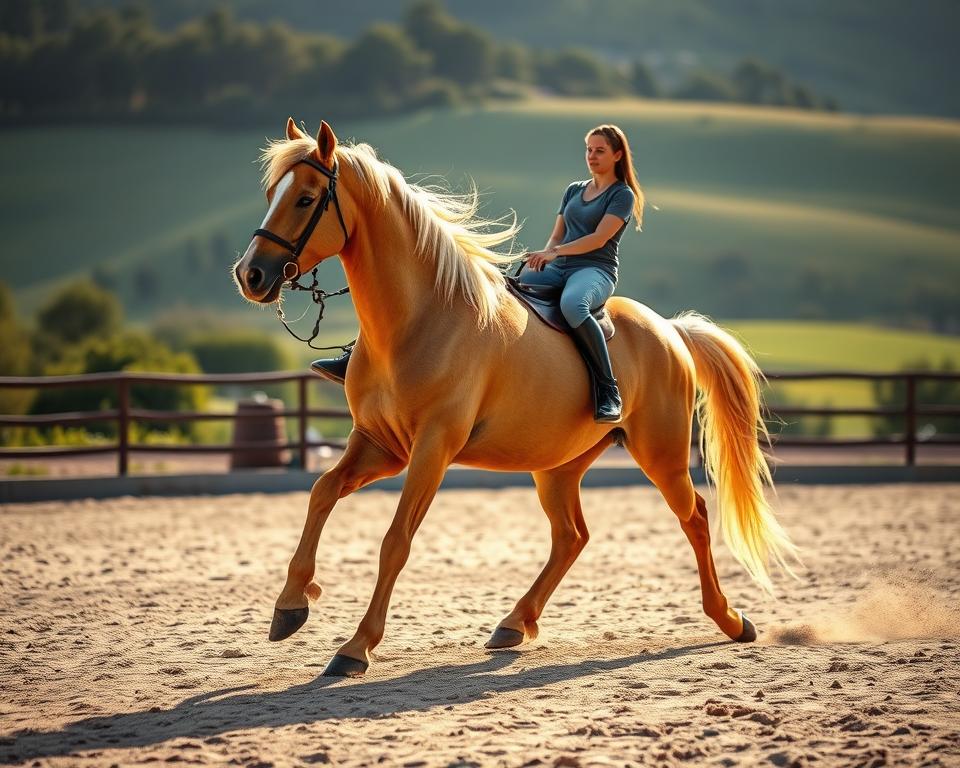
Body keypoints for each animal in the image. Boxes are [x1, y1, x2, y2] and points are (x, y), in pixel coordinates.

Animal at [233, 118, 797, 677]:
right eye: (270, 193)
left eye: (306, 198)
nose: (250, 275)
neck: (421, 319)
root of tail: (670, 330)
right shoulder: (379, 444)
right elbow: (322, 492)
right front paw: (291, 605)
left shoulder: (431, 449)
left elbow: (396, 541)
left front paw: (356, 647)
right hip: (558, 466)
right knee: (571, 536)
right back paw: (514, 623)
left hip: (660, 454)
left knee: (695, 517)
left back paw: (729, 620)